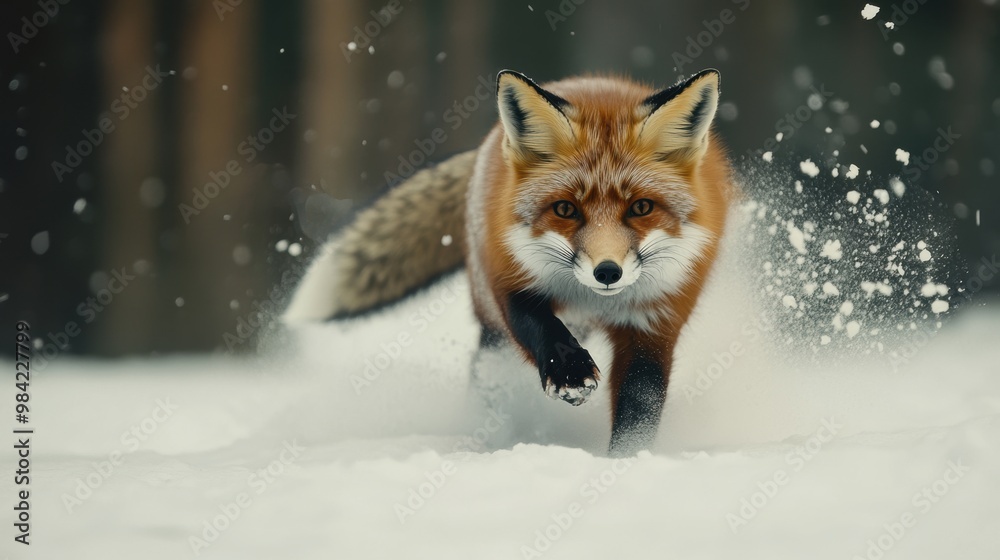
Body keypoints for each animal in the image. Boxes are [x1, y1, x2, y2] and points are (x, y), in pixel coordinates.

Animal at [285, 69, 734, 456]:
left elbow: (639, 411)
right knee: (488, 373)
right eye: (565, 209)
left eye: (641, 207)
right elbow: (541, 328)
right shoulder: (510, 282)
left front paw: (623, 461)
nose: (607, 271)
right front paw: (569, 373)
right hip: (492, 327)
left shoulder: (654, 324)